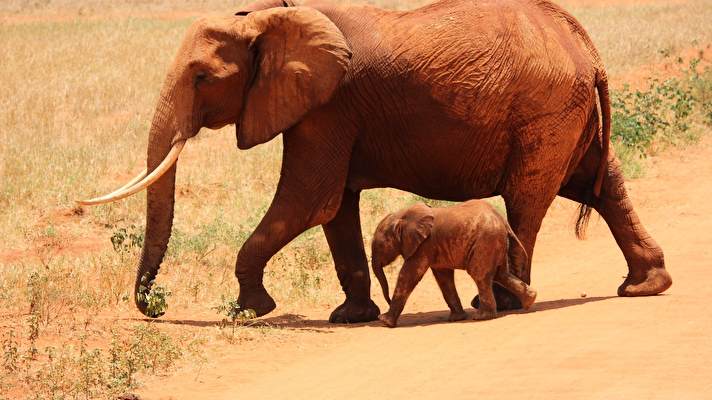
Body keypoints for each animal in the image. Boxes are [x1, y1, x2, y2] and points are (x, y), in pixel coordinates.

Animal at [372, 202, 536, 326]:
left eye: (379, 245)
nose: (387, 300)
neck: (402, 215)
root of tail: (503, 221)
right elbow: (443, 278)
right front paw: (457, 318)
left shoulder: (424, 245)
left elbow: (408, 275)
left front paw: (384, 322)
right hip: (495, 242)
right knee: (500, 274)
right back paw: (530, 301)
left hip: (486, 241)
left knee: (480, 275)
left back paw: (482, 317)